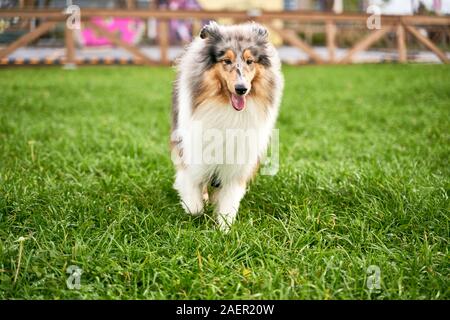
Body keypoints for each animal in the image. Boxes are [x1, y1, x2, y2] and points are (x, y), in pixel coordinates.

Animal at [171, 21, 284, 231]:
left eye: (250, 61)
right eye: (226, 61)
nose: (241, 89)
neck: (227, 109)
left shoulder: (237, 162)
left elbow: (229, 200)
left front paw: (224, 229)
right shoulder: (192, 153)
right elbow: (193, 193)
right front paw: (195, 209)